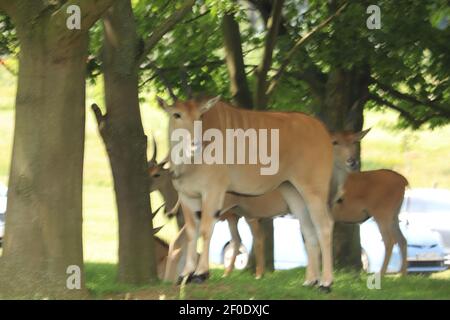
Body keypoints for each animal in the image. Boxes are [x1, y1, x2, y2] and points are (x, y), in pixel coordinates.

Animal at [156, 95, 336, 290]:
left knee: (325, 226)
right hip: (293, 192)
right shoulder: (187, 197)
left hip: (314, 190)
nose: (194, 144)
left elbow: (205, 229)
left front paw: (200, 273)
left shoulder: (213, 192)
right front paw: (185, 274)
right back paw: (310, 281)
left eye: (200, 116)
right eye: (177, 114)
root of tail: (322, 130)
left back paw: (325, 283)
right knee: (308, 229)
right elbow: (191, 232)